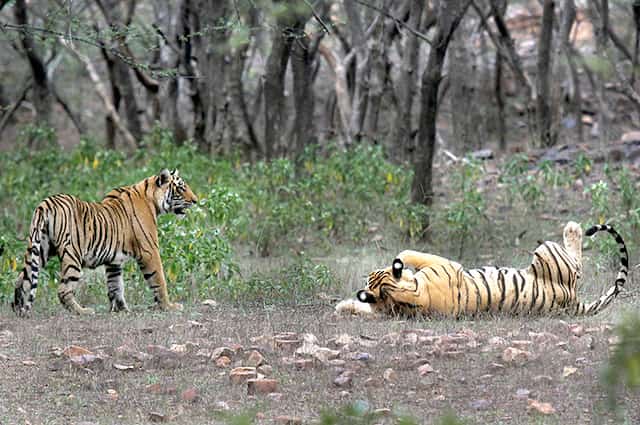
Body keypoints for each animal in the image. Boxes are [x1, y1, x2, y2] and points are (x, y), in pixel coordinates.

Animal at [11, 169, 198, 316]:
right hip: (72, 255)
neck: (152, 199)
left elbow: (115, 285)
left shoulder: (113, 260)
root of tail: (46, 203)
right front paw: (169, 306)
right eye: (181, 188)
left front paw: (121, 309)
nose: (196, 200)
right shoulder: (149, 251)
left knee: (22, 279)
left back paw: (18, 308)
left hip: (40, 249)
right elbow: (159, 280)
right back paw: (83, 311)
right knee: (63, 290)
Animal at [336, 222, 628, 317]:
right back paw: (573, 228)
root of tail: (574, 302)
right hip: (547, 251)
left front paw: (343, 306)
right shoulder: (445, 264)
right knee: (577, 264)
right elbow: (410, 253)